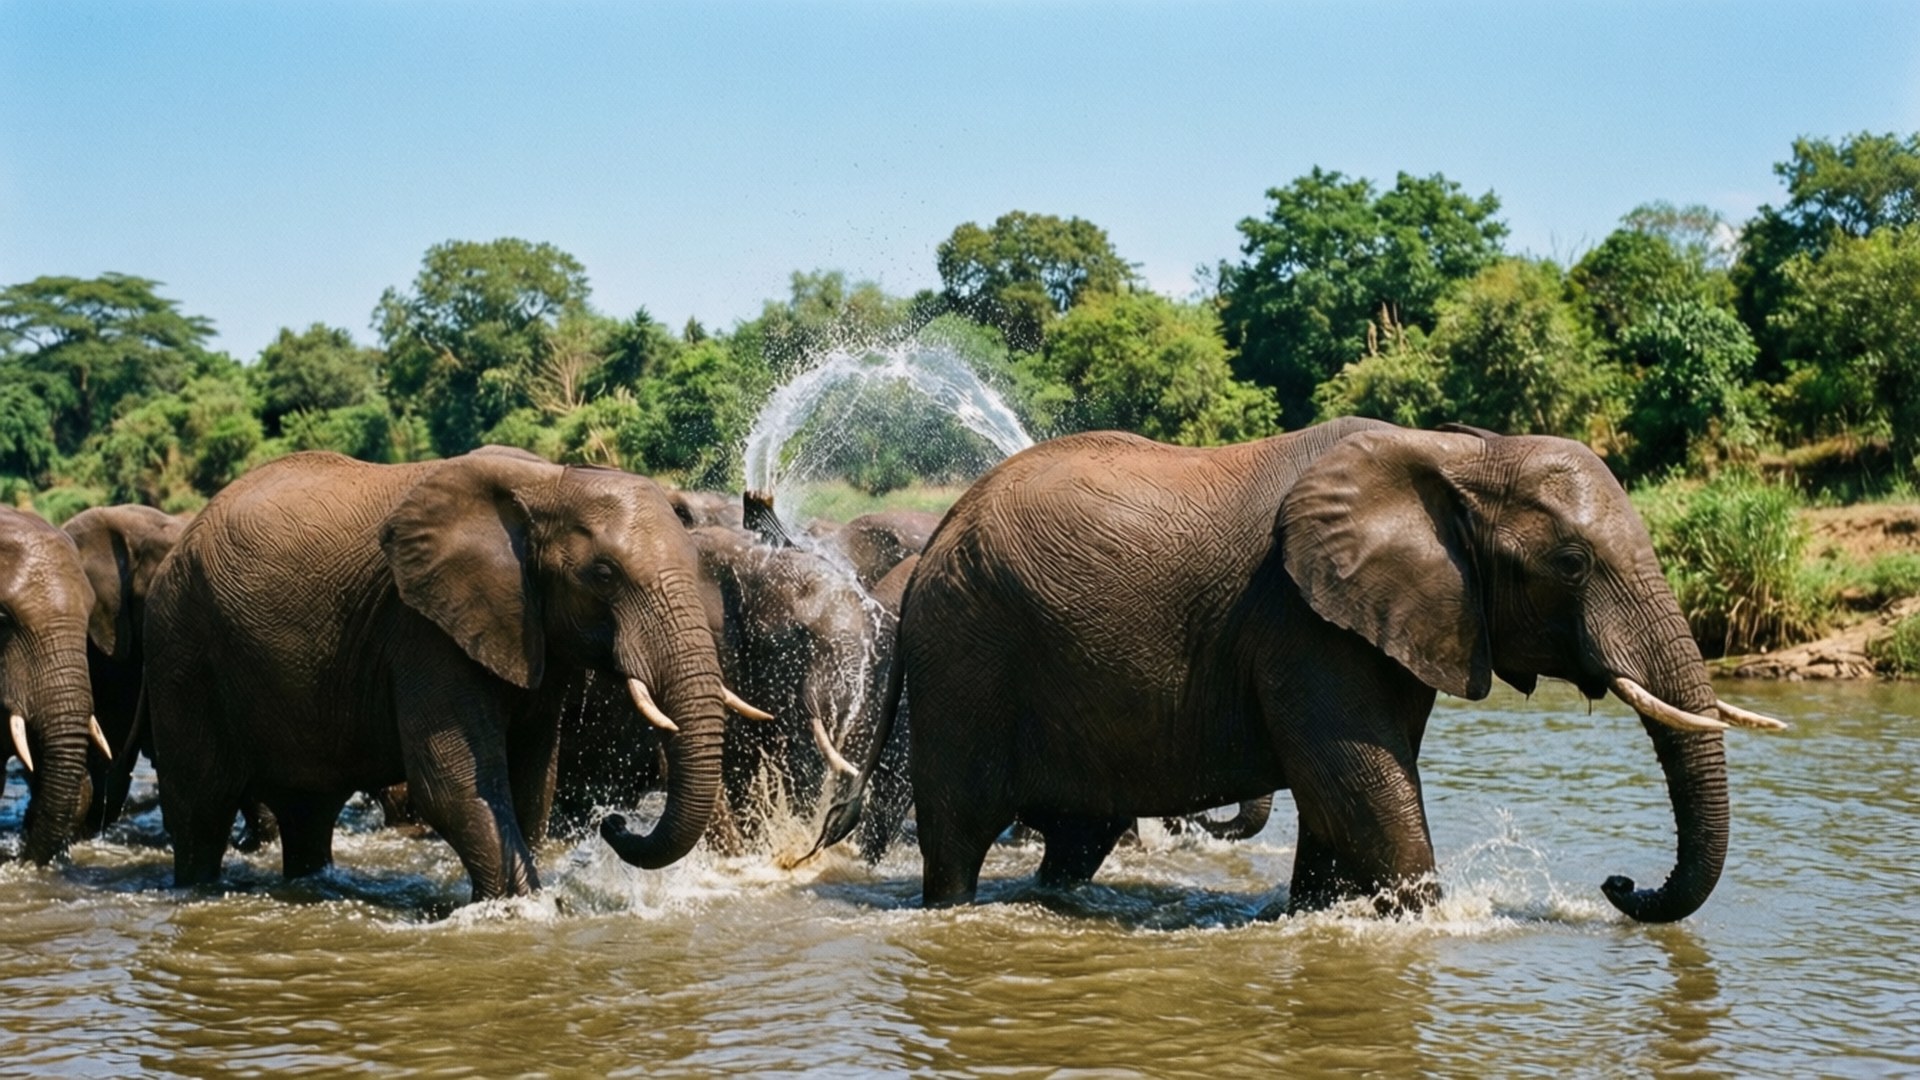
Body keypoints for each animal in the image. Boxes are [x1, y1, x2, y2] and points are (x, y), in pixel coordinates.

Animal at [144, 448, 739, 901]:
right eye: (605, 574)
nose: (613, 822)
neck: (549, 483)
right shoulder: (422, 629)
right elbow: (454, 786)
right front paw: (523, 909)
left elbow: (531, 783)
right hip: (182, 647)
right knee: (201, 807)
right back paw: (197, 889)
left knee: (308, 811)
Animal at [819, 418, 1786, 920]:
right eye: (1576, 564)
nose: (1619, 885)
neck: (1461, 452)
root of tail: (940, 530)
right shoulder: (1302, 622)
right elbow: (1360, 779)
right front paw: (1426, 924)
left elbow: (1346, 794)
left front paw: (1322, 918)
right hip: (967, 656)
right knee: (959, 835)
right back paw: (958, 912)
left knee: (1078, 838)